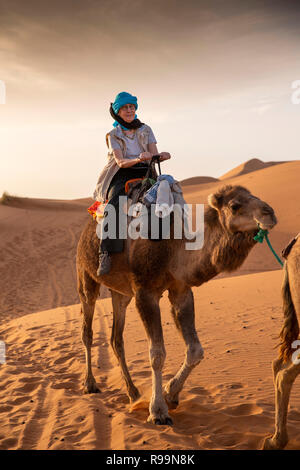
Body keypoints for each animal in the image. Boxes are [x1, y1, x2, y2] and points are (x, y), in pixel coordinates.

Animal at [75, 185, 276, 426]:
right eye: (234, 205)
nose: (270, 214)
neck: (174, 250)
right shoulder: (145, 293)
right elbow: (157, 354)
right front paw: (158, 411)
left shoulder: (181, 290)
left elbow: (196, 350)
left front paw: (170, 394)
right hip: (86, 275)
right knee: (87, 330)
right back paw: (90, 384)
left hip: (121, 292)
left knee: (116, 338)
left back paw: (133, 393)